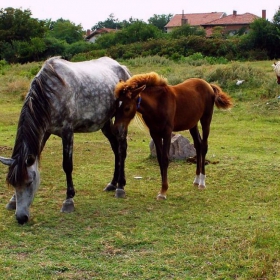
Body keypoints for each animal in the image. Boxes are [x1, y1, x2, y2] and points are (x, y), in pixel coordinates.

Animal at [0, 55, 131, 224]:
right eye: (13, 183)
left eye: (30, 182)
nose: (21, 218)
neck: (50, 93)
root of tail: (122, 68)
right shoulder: (45, 131)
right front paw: (12, 200)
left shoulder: (67, 132)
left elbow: (67, 165)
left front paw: (69, 200)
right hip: (105, 123)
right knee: (115, 148)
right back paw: (112, 184)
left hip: (121, 119)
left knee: (122, 149)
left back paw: (120, 186)